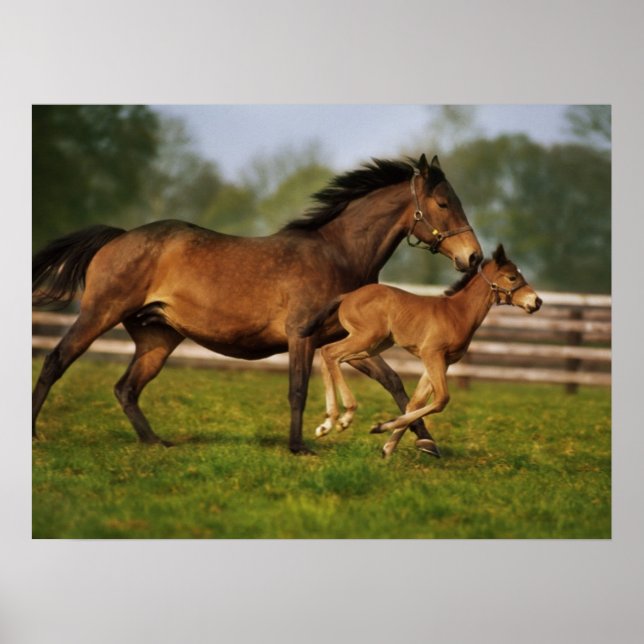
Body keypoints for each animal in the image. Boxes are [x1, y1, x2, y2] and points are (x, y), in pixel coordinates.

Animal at [32, 153, 482, 455]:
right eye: (444, 203)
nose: (474, 258)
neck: (338, 254)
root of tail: (118, 237)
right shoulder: (303, 335)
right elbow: (298, 390)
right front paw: (300, 446)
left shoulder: (347, 340)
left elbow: (393, 382)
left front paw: (426, 443)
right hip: (99, 314)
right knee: (56, 362)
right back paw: (35, 433)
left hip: (156, 338)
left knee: (126, 388)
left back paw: (155, 442)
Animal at [300, 244, 541, 457]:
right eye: (512, 277)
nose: (537, 301)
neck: (457, 313)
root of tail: (347, 296)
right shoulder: (432, 354)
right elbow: (441, 399)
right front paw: (381, 427)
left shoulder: (442, 362)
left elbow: (415, 402)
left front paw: (387, 447)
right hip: (367, 337)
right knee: (331, 352)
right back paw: (344, 417)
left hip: (374, 345)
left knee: (331, 356)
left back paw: (328, 422)